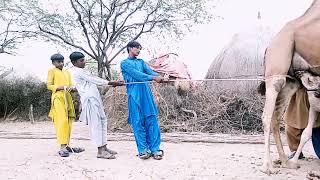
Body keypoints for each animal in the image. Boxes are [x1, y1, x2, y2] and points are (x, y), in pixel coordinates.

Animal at [262, 0, 320, 174]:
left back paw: (285, 162)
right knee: (267, 116)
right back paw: (268, 166)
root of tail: (269, 47)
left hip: (291, 81)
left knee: (275, 118)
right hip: (276, 71)